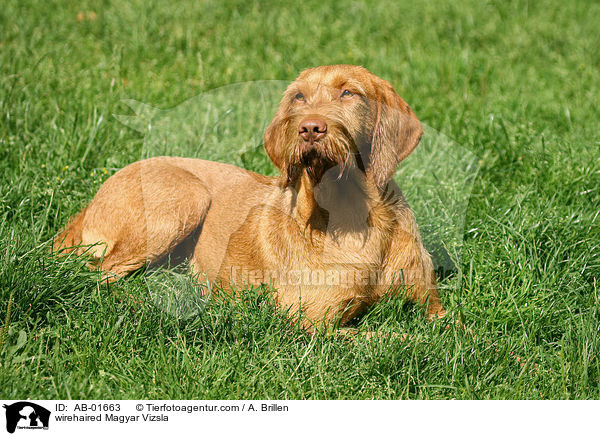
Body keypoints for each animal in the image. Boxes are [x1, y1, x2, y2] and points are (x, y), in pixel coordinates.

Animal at [54, 64, 446, 330]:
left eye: (349, 93)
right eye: (299, 97)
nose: (309, 128)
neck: (356, 216)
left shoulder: (432, 304)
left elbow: (449, 331)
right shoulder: (313, 322)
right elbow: (395, 336)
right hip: (187, 197)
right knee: (98, 277)